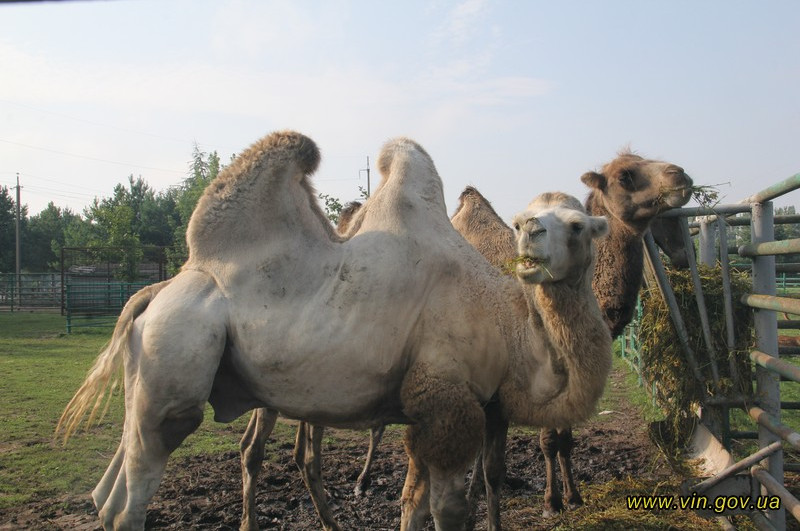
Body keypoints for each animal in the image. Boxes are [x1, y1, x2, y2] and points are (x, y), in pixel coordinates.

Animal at [59, 130, 608, 531]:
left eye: (578, 225)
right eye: (519, 222)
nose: (533, 236)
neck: (505, 323)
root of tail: (156, 291)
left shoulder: (432, 410)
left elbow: (412, 505)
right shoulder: (447, 401)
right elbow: (448, 513)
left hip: (143, 378)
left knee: (108, 492)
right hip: (176, 358)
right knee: (134, 495)